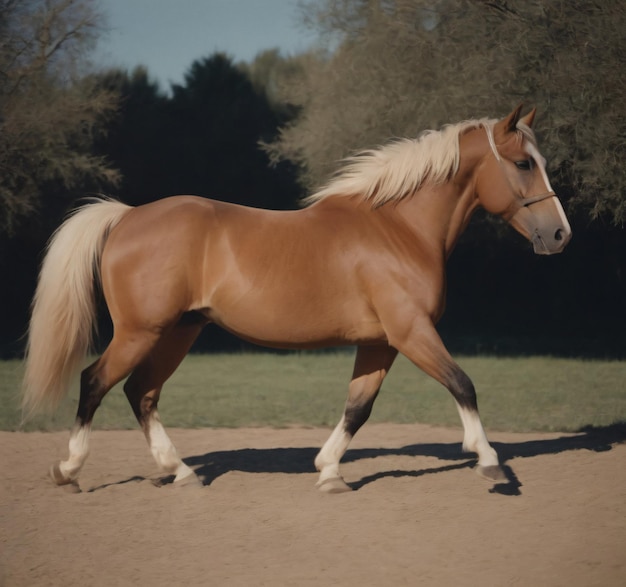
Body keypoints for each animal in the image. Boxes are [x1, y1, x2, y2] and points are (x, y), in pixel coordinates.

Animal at [22, 104, 572, 492]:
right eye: (523, 163)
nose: (560, 235)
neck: (398, 228)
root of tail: (127, 215)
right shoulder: (411, 331)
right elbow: (463, 384)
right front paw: (489, 462)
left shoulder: (381, 342)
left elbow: (358, 408)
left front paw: (328, 472)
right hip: (141, 332)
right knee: (96, 382)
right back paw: (69, 469)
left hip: (178, 331)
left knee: (142, 393)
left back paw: (180, 471)